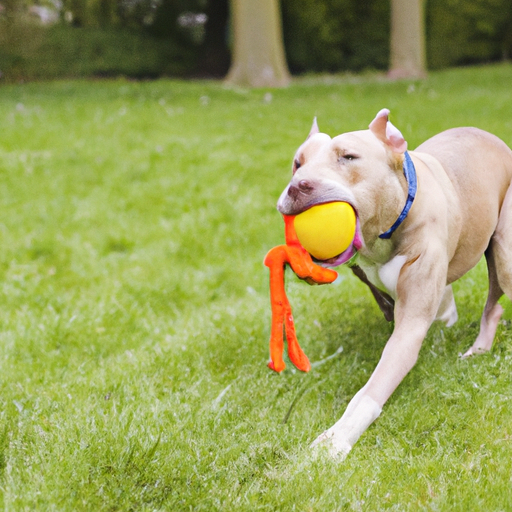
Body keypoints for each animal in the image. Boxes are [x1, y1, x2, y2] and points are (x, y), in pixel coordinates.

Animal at [276, 110, 512, 458]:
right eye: (297, 162)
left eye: (348, 157)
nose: (297, 186)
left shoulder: (409, 325)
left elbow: (370, 391)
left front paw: (336, 439)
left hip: (505, 256)